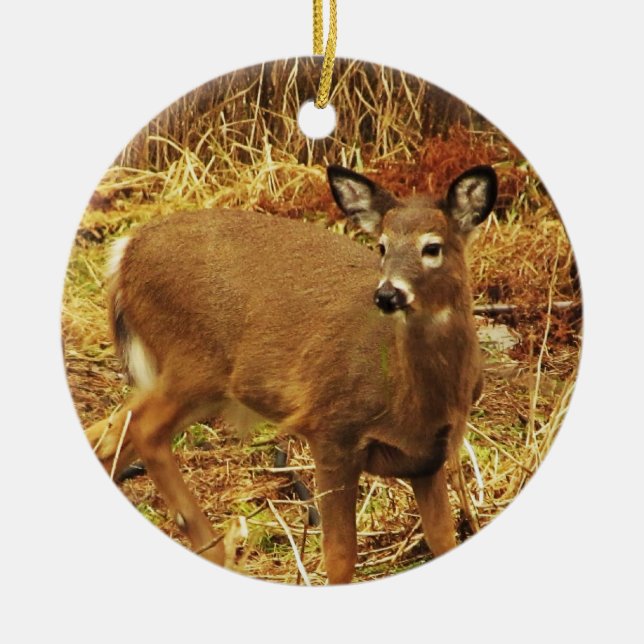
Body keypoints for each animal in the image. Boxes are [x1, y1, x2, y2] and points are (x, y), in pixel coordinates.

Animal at [85, 163, 497, 584]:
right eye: (381, 246)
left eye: (432, 247)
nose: (387, 294)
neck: (412, 400)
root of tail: (125, 250)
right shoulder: (331, 429)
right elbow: (340, 556)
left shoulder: (429, 457)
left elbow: (443, 539)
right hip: (193, 361)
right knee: (144, 429)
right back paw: (213, 546)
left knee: (111, 432)